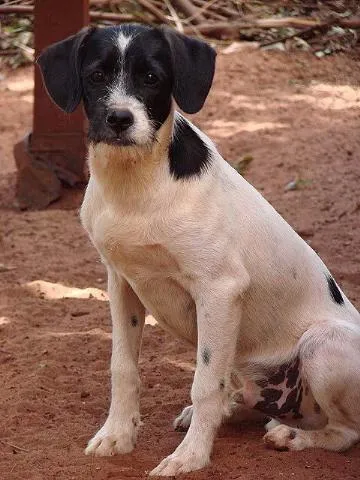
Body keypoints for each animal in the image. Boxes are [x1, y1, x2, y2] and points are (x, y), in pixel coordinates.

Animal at [38, 23, 360, 476]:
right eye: (96, 76)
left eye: (151, 77)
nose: (119, 119)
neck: (137, 185)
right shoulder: (121, 282)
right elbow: (123, 368)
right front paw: (117, 435)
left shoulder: (219, 289)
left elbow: (204, 384)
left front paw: (190, 457)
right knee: (239, 392)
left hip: (324, 344)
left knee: (344, 431)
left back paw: (293, 436)